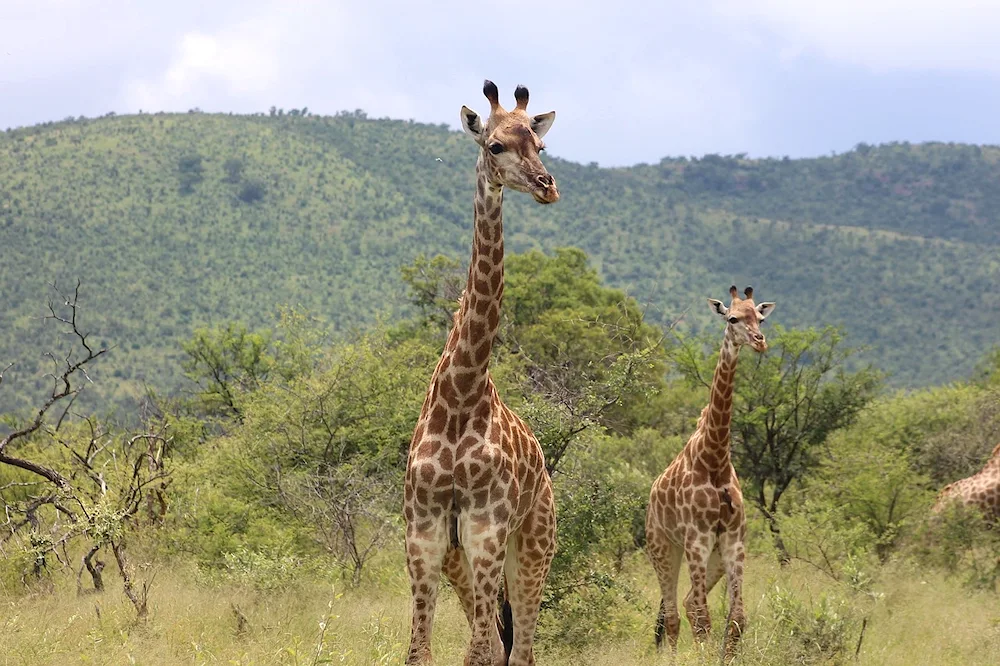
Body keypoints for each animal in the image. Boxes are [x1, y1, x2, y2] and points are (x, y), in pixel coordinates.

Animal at [406, 79, 564, 664]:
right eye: (495, 145)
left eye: (540, 145)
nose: (547, 186)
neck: (461, 396)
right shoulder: (425, 536)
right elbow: (421, 652)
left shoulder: (486, 532)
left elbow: (476, 652)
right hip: (464, 561)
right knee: (499, 643)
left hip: (533, 545)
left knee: (520, 650)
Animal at [644, 284, 776, 652]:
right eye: (732, 319)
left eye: (760, 318)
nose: (760, 341)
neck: (715, 459)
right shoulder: (697, 541)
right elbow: (704, 620)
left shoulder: (733, 541)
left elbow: (737, 619)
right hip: (662, 548)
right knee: (674, 615)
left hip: (712, 557)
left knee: (686, 605)